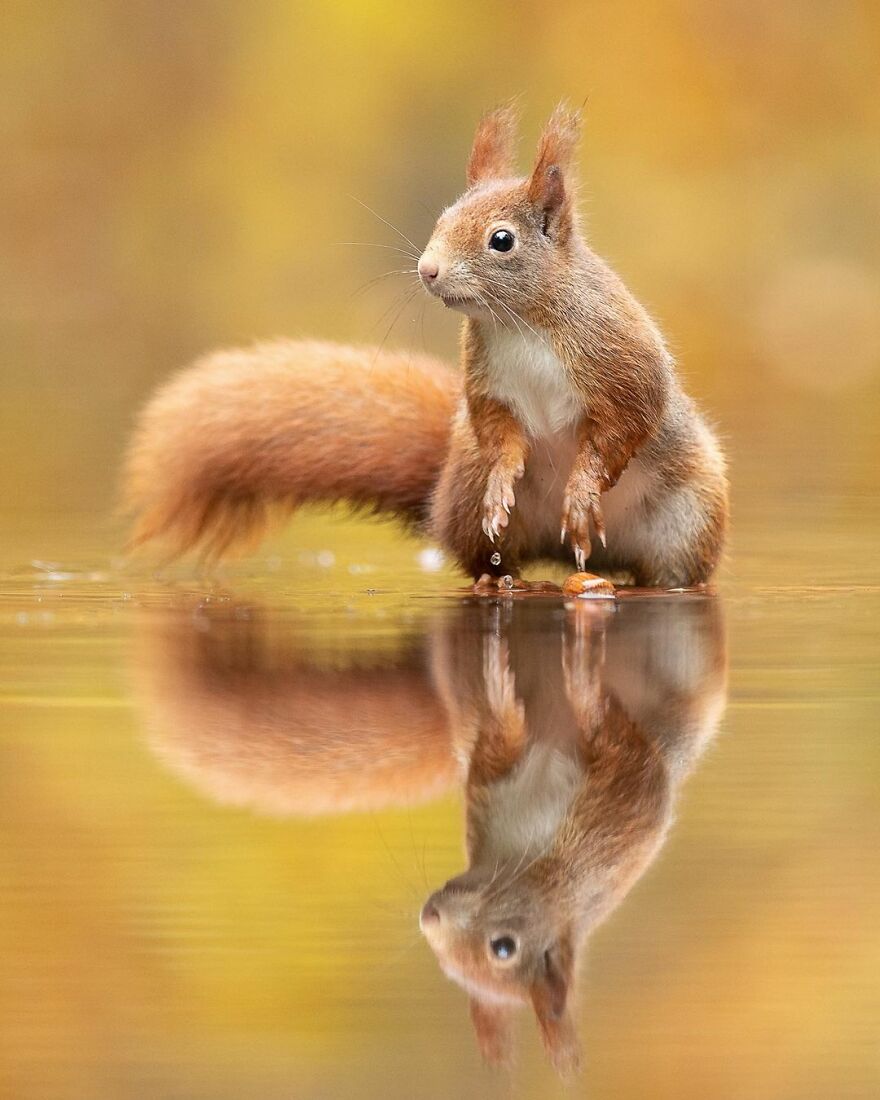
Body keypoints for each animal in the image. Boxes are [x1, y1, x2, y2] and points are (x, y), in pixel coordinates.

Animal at [124, 102, 728, 589]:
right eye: (442, 217)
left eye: (502, 240)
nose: (427, 269)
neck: (520, 324)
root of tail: (581, 562)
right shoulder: (488, 385)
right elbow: (498, 431)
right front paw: (504, 478)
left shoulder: (619, 360)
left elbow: (621, 428)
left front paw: (580, 493)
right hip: (467, 501)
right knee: (489, 557)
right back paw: (504, 577)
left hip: (687, 518)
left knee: (672, 573)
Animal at [133, 595, 727, 1074]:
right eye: (447, 970)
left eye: (504, 948)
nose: (430, 918)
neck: (524, 851)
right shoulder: (492, 787)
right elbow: (499, 739)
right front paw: (505, 700)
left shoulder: (607, 804)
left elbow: (605, 734)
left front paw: (580, 688)